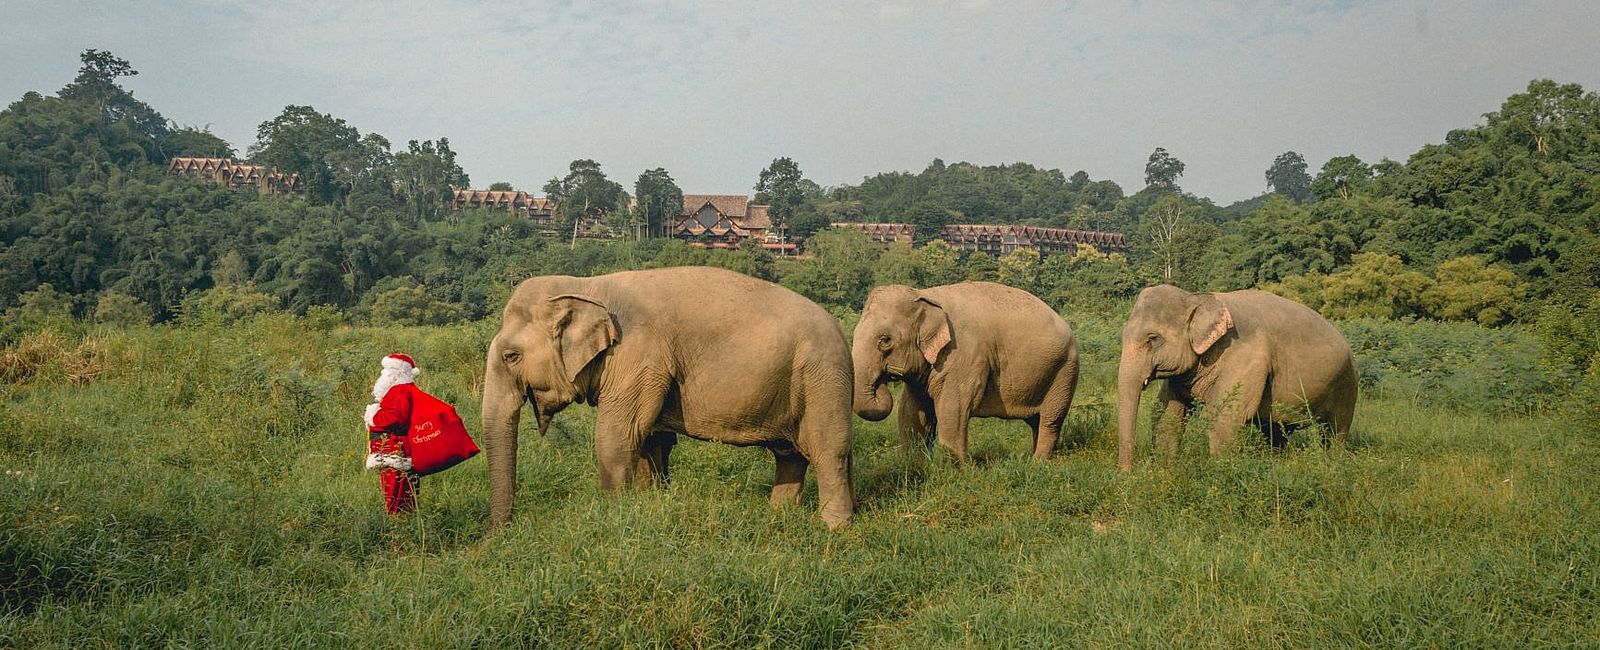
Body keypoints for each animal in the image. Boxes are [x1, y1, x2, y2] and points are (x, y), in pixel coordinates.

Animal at [480, 267, 857, 531]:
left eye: (511, 356)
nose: (498, 534)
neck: (588, 286)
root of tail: (842, 333)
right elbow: (650, 438)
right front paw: (648, 503)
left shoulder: (638, 355)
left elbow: (617, 436)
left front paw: (613, 514)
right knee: (790, 454)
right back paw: (779, 516)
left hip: (821, 377)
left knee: (828, 450)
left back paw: (834, 528)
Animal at [857, 281, 1081, 461]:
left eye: (885, 340)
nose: (883, 380)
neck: (924, 294)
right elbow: (911, 410)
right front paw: (911, 464)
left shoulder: (964, 354)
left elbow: (953, 407)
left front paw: (955, 468)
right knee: (1036, 420)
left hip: (1065, 371)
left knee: (1051, 420)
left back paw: (1037, 462)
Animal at [1120, 281, 1356, 470]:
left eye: (1153, 339)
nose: (1127, 474)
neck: (1197, 297)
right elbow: (1166, 413)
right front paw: (1165, 469)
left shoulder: (1243, 356)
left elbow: (1226, 417)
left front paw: (1220, 472)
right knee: (1275, 431)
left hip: (1346, 381)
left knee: (1335, 429)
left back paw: (1333, 463)